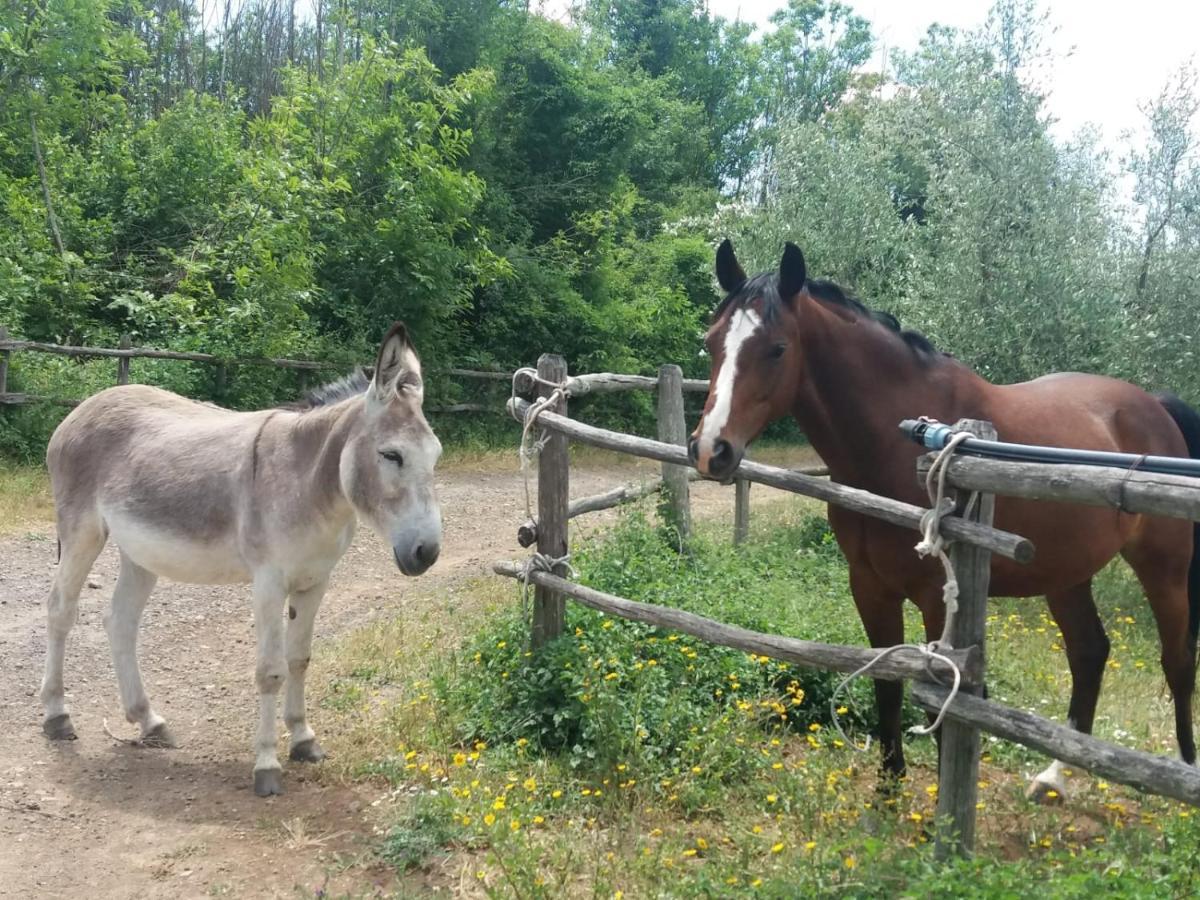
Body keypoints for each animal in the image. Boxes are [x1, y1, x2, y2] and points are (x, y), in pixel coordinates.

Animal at [42, 321, 448, 796]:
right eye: (391, 455)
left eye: (436, 456)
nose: (426, 552)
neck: (309, 484)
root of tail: (89, 403)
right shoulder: (269, 582)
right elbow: (270, 670)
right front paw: (267, 766)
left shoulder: (316, 580)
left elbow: (300, 659)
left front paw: (304, 740)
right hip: (82, 532)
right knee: (60, 610)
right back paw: (57, 716)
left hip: (139, 550)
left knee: (120, 620)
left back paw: (148, 721)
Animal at [691, 243, 1200, 801]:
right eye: (711, 341)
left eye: (777, 349)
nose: (710, 450)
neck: (894, 445)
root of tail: (1154, 405)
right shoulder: (870, 588)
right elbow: (887, 684)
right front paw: (888, 791)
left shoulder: (939, 600)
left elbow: (944, 702)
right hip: (1067, 574)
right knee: (1089, 652)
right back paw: (1055, 776)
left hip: (1164, 568)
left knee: (1177, 662)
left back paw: (1182, 770)